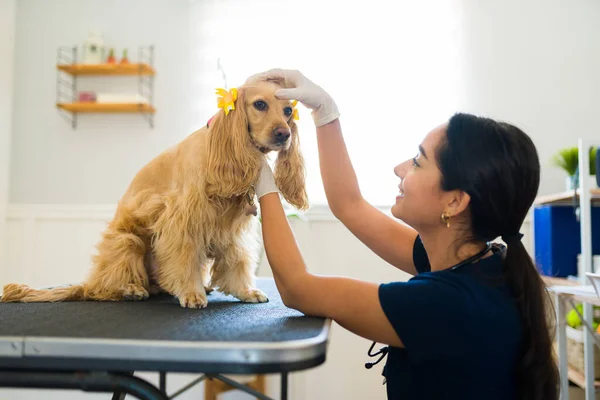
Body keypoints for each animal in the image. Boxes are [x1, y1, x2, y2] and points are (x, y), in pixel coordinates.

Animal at [1, 79, 310, 308]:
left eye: (288, 111)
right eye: (259, 104)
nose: (284, 134)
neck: (221, 150)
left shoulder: (231, 230)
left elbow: (237, 260)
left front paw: (245, 291)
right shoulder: (182, 220)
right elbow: (185, 258)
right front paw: (192, 293)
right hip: (128, 241)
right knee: (102, 288)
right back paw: (130, 288)